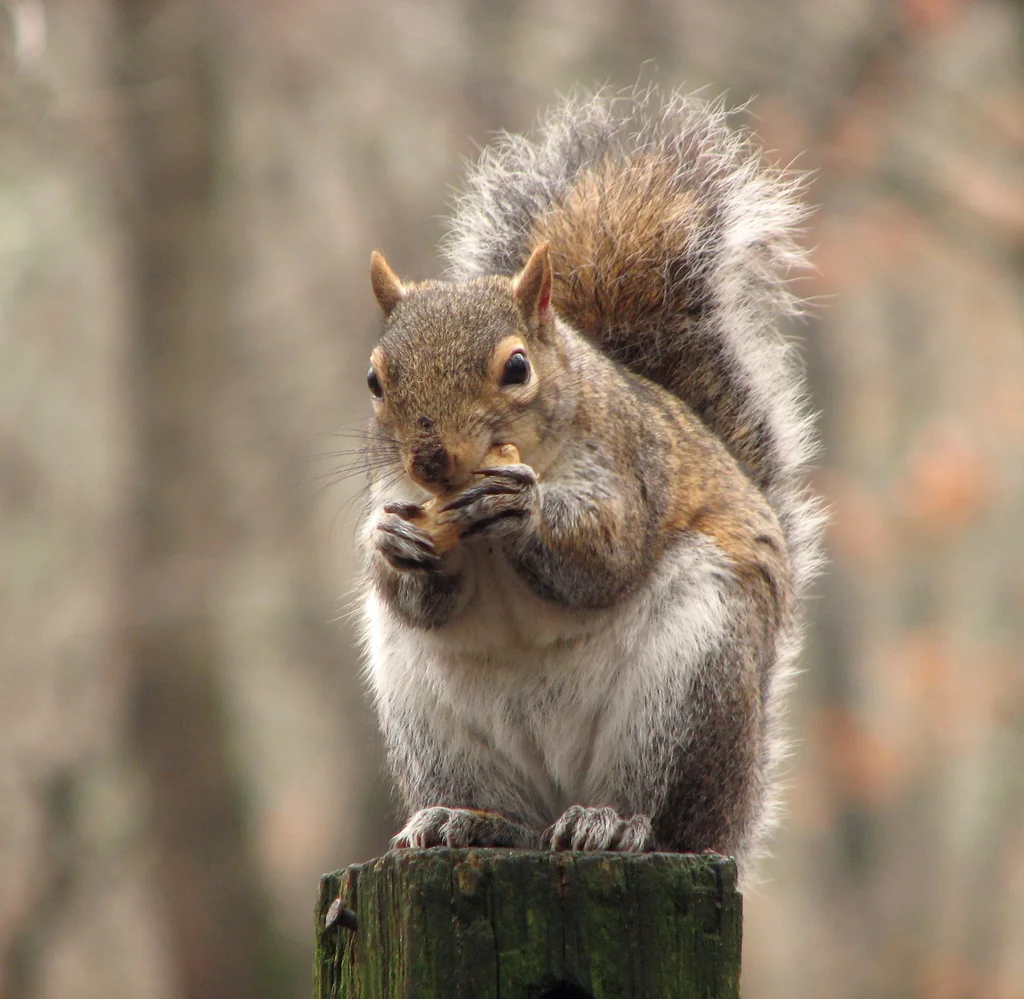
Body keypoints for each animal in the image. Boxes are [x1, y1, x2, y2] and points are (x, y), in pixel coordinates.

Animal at [355, 87, 823, 876]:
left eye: (516, 367)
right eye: (374, 380)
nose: (431, 462)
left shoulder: (631, 466)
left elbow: (607, 554)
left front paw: (523, 508)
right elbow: (418, 597)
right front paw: (389, 540)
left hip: (692, 687)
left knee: (664, 810)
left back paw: (613, 824)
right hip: (431, 723)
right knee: (504, 815)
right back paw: (463, 820)